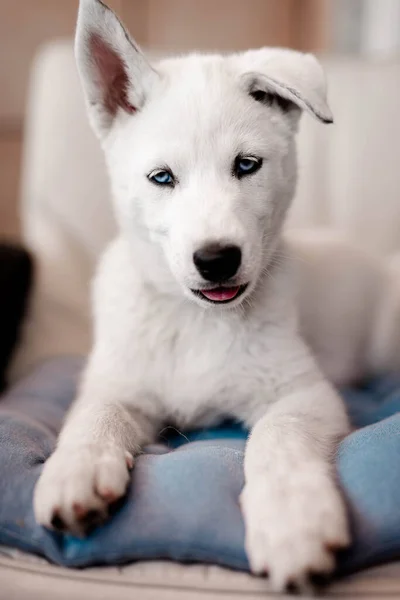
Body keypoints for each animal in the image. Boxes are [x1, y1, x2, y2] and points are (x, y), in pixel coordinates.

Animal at [32, 0, 400, 592]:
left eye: (247, 165)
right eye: (162, 178)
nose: (216, 259)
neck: (195, 321)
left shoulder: (302, 393)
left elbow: (276, 439)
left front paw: (294, 522)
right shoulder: (117, 385)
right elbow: (94, 417)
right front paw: (75, 472)